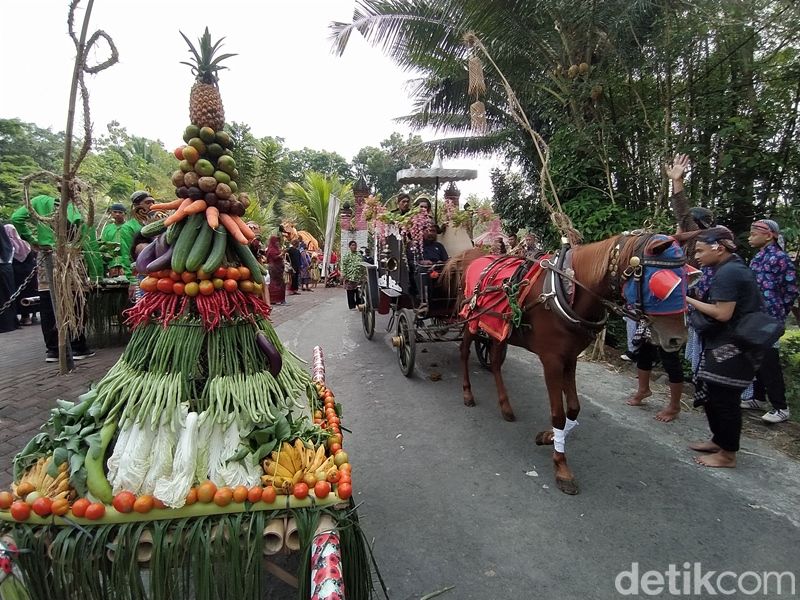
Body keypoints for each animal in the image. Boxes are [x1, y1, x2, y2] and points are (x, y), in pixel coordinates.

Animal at [440, 232, 692, 494]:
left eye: (687, 279)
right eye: (661, 285)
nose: (677, 339)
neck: (567, 290)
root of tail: (473, 255)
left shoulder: (570, 357)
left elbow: (573, 408)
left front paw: (551, 437)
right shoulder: (551, 360)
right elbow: (558, 414)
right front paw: (561, 467)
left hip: (499, 328)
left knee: (496, 362)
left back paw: (505, 406)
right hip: (471, 319)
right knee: (464, 353)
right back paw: (467, 393)